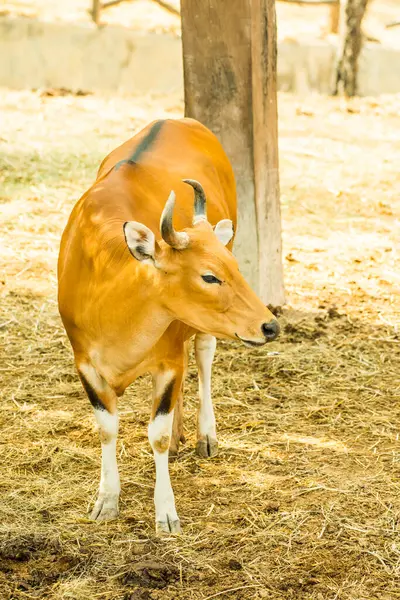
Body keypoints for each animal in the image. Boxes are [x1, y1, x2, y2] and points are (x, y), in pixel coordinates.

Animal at [57, 118, 280, 536]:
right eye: (209, 276)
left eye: (234, 266)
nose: (270, 326)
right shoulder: (85, 364)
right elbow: (107, 427)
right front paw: (106, 500)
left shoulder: (169, 361)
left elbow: (156, 434)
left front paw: (165, 512)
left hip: (201, 334)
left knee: (204, 356)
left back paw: (204, 435)